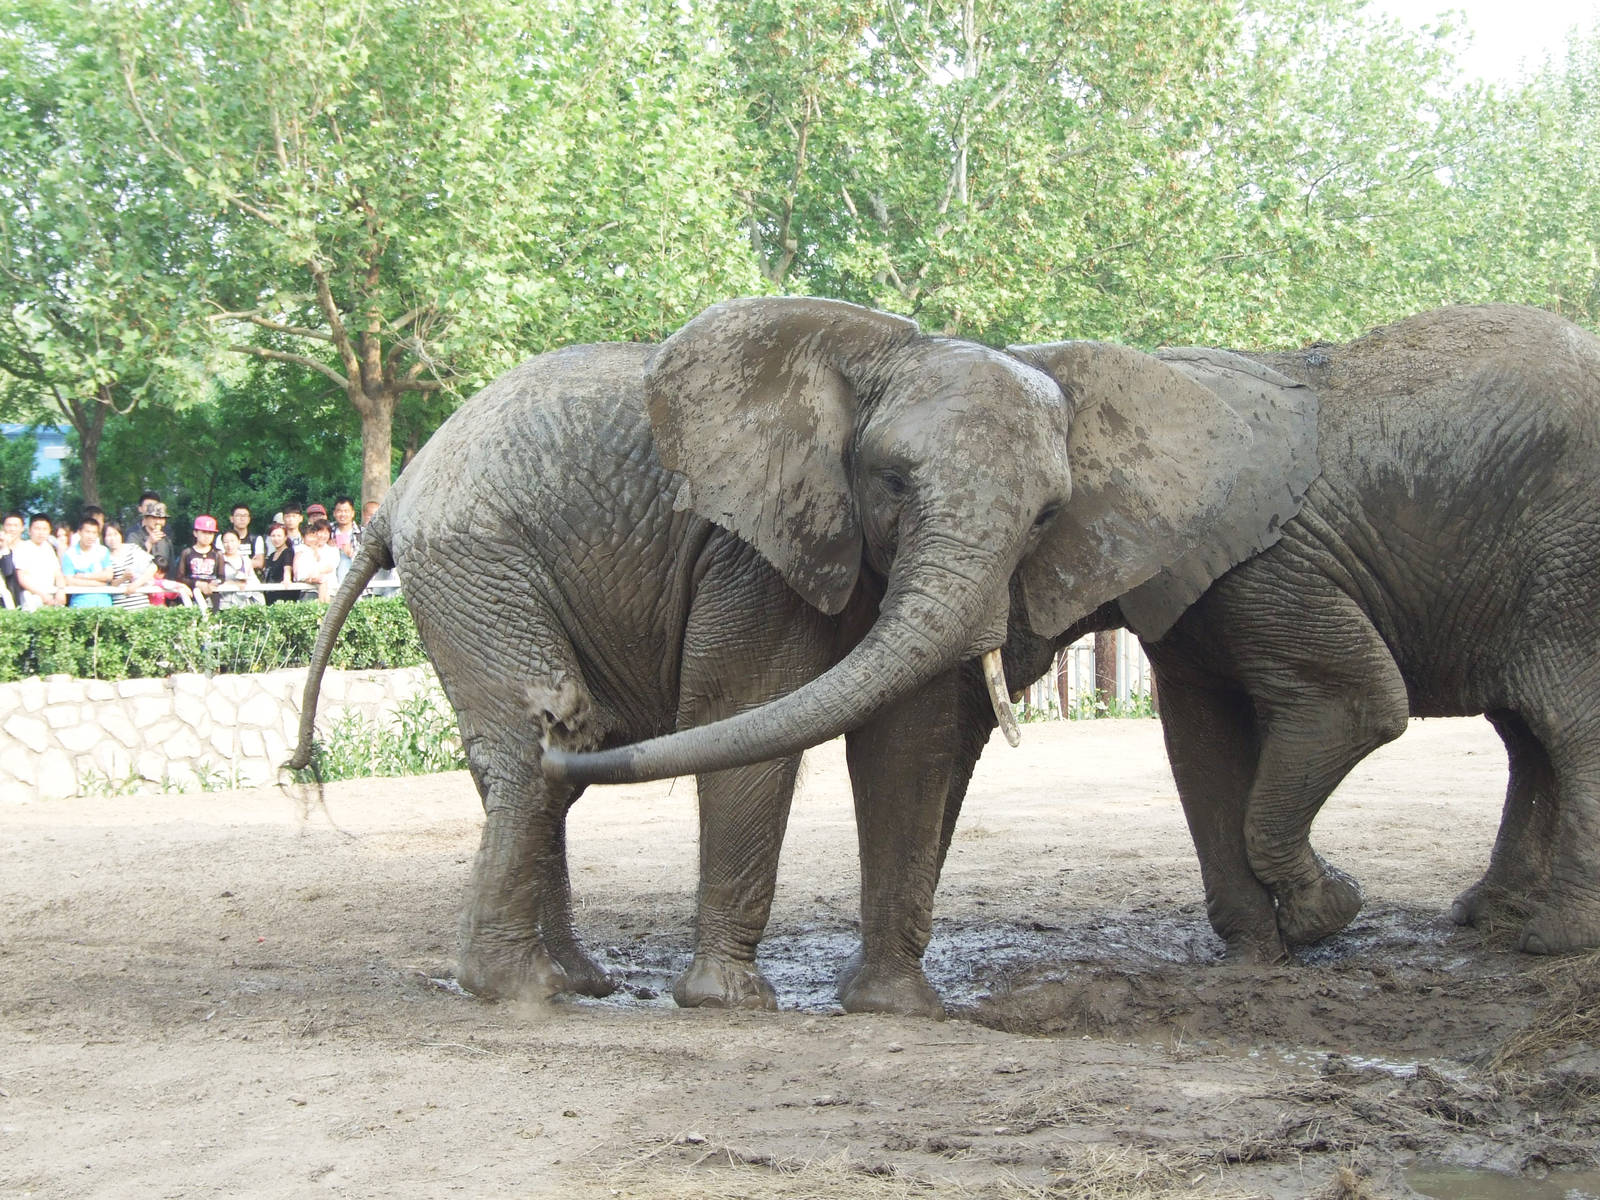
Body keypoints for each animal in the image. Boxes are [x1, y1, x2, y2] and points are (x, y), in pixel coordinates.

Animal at [289, 295, 1261, 1016]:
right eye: (893, 481)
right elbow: (745, 711)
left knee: (545, 756)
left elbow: (906, 744)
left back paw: (579, 977)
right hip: (474, 555)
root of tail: (400, 488)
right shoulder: (751, 548)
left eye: (1048, 515)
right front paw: (730, 1004)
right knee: (534, 747)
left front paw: (895, 1009)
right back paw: (518, 989)